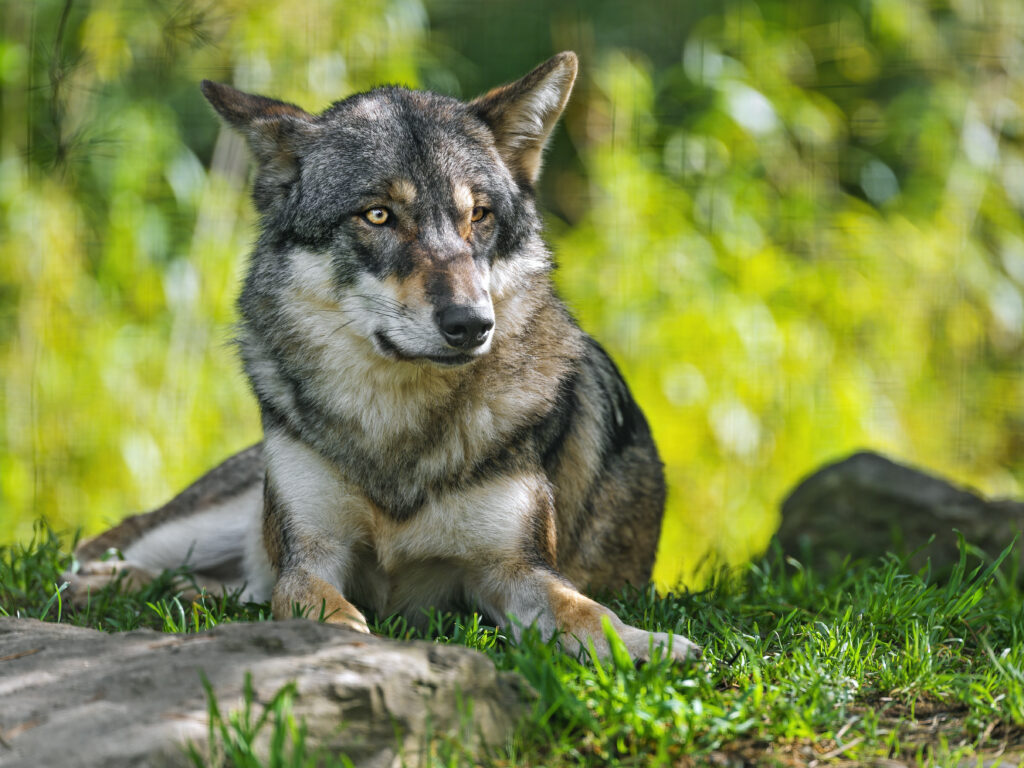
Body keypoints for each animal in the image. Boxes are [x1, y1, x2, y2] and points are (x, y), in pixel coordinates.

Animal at [67, 52, 700, 662]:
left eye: (479, 216)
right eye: (378, 215)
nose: (472, 324)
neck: (396, 431)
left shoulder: (513, 570)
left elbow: (584, 609)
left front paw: (648, 643)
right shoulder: (310, 553)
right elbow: (311, 601)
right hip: (209, 522)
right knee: (113, 546)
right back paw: (97, 582)